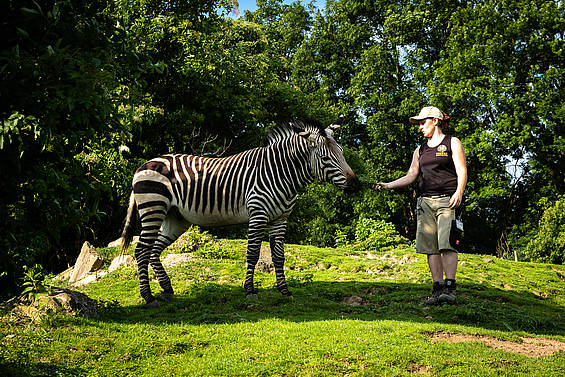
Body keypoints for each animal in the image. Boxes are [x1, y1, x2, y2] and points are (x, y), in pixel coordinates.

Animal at [121, 117, 362, 306]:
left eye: (342, 153)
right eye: (325, 158)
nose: (356, 186)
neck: (281, 173)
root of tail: (144, 165)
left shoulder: (280, 219)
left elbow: (279, 256)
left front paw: (284, 291)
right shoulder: (258, 214)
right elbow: (253, 253)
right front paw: (250, 291)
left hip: (175, 218)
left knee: (154, 250)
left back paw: (168, 290)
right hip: (153, 208)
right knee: (141, 251)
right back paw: (148, 297)